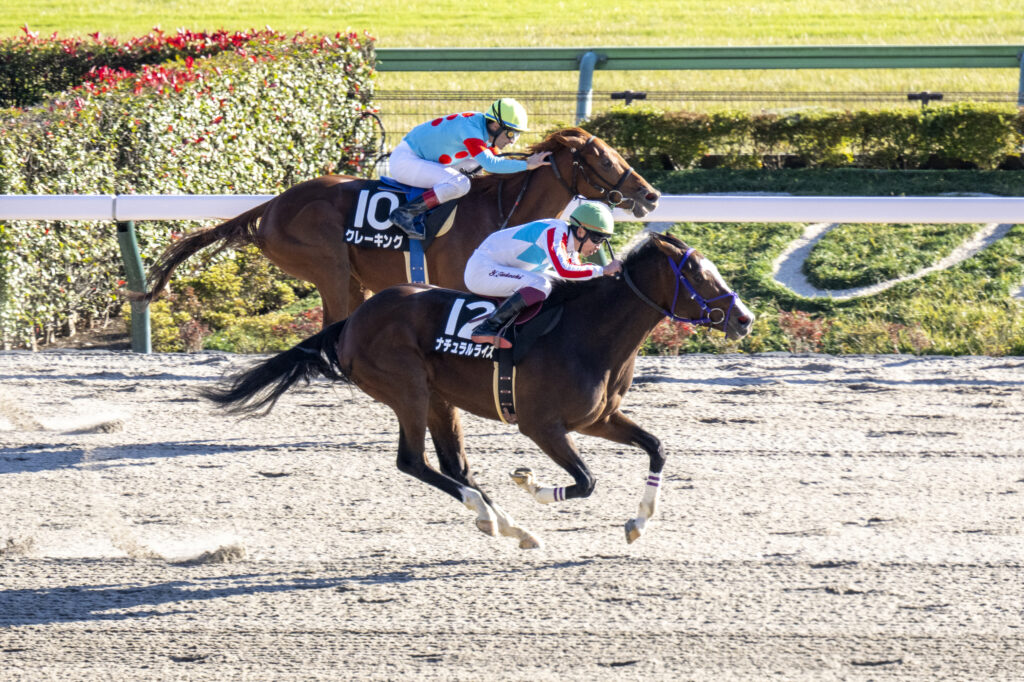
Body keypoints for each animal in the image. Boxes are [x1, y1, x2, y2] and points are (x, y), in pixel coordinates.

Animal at [140, 126, 659, 323]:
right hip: (330, 269)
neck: (500, 208)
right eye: (605, 160)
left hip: (349, 277)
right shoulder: (459, 281)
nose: (650, 195)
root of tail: (271, 207)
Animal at [203, 232, 757, 548]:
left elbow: (657, 448)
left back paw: (506, 525)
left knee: (455, 467)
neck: (588, 332)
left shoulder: (597, 418)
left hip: (439, 399)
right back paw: (498, 519)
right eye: (698, 275)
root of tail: (352, 321)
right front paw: (532, 486)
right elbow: (585, 482)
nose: (745, 319)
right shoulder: (542, 426)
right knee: (413, 462)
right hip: (408, 390)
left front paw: (639, 524)